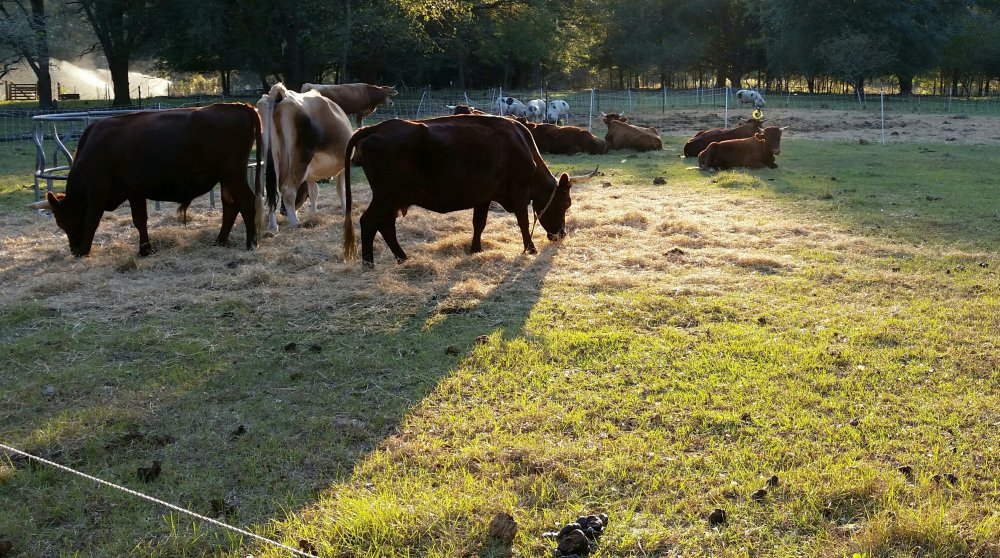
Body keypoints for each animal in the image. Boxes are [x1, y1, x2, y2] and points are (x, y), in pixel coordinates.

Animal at [28, 103, 263, 257]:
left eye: (62, 222)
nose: (74, 251)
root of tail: (236, 106)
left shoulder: (98, 192)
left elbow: (92, 220)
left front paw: (86, 250)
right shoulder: (134, 191)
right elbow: (139, 220)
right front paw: (145, 249)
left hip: (232, 173)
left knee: (246, 203)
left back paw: (251, 243)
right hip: (226, 177)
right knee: (230, 205)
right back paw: (220, 240)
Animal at [257, 83, 353, 232]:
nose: (283, 212)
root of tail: (281, 93)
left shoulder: (311, 174)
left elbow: (314, 191)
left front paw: (313, 214)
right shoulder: (342, 166)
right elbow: (341, 189)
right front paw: (344, 212)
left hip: (269, 161)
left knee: (271, 190)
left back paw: (273, 226)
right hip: (301, 157)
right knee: (288, 189)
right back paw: (295, 223)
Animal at [341, 114, 598, 266]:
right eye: (565, 204)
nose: (561, 234)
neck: (523, 146)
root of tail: (377, 127)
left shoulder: (484, 195)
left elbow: (479, 223)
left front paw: (475, 249)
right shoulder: (519, 191)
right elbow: (523, 222)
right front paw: (530, 248)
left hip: (393, 198)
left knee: (385, 225)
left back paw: (402, 258)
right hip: (386, 195)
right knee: (369, 222)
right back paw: (369, 263)